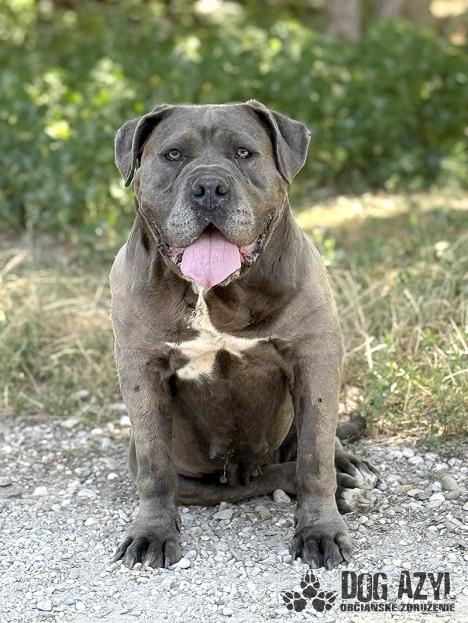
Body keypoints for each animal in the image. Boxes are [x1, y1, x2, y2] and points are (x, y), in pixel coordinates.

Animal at [109, 101, 379, 571]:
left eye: (243, 153)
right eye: (173, 155)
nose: (209, 187)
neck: (218, 293)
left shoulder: (316, 357)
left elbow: (315, 457)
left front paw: (320, 531)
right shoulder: (141, 371)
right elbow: (155, 467)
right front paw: (151, 533)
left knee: (319, 445)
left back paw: (348, 471)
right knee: (249, 480)